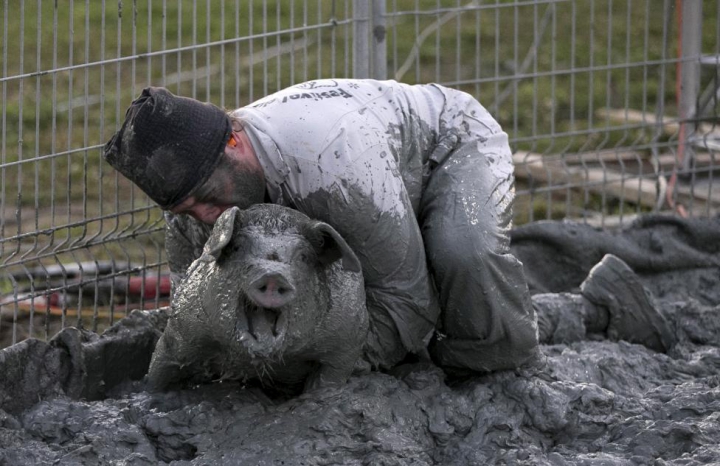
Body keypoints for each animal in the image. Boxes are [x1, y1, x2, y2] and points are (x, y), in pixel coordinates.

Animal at [148, 206, 368, 392]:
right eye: (237, 247)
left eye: (304, 256)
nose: (273, 274)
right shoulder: (181, 330)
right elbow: (158, 372)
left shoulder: (346, 342)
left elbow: (330, 377)